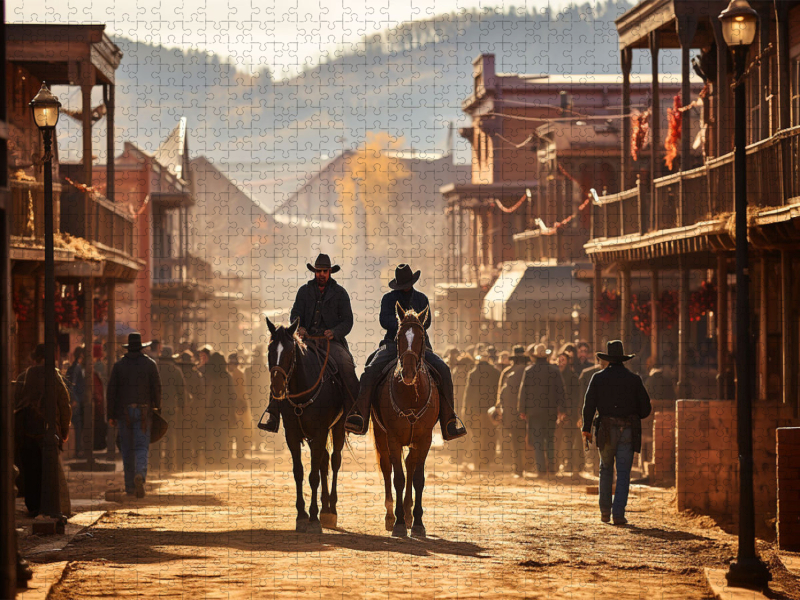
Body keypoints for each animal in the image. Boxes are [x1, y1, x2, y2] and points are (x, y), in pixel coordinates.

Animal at [268, 316, 346, 532]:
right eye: (270, 350)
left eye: (289, 352)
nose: (277, 387)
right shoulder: (293, 435)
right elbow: (299, 472)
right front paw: (301, 515)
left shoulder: (320, 433)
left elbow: (313, 475)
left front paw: (312, 516)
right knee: (324, 461)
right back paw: (325, 508)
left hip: (337, 427)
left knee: (334, 460)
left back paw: (331, 510)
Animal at [374, 304, 440, 540]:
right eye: (399, 336)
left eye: (421, 337)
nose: (409, 373)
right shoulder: (392, 438)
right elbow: (398, 478)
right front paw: (399, 523)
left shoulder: (425, 439)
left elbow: (418, 478)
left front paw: (418, 523)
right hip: (380, 435)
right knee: (387, 468)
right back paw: (390, 515)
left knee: (410, 465)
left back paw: (410, 513)